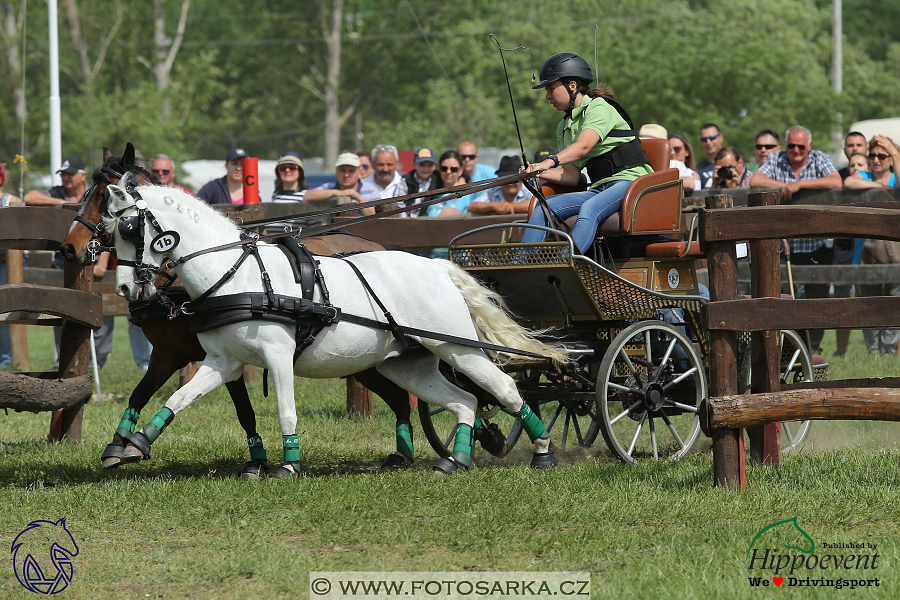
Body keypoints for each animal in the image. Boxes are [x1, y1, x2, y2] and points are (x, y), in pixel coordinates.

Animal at [109, 184, 568, 478]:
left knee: (505, 389)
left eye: (130, 229)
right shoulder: (223, 362)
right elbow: (178, 398)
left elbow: (285, 410)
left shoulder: (277, 355)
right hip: (408, 365)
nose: (125, 289)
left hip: (457, 348)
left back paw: (544, 453)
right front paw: (134, 444)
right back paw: (454, 461)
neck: (240, 276)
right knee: (464, 401)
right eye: (112, 231)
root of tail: (437, 266)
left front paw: (289, 464)